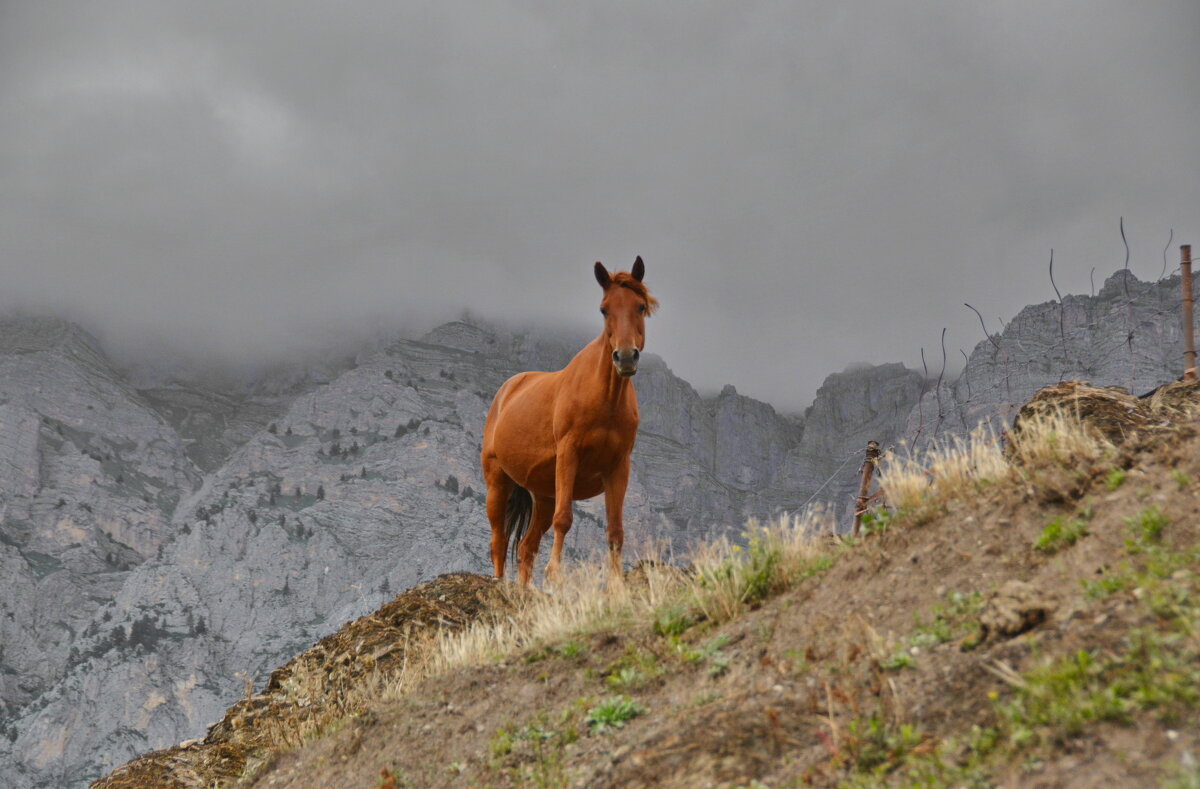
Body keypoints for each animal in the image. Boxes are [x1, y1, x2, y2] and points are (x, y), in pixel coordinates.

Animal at [482, 257, 662, 582]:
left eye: (640, 306)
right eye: (604, 309)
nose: (625, 357)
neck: (604, 401)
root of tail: (506, 391)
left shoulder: (618, 466)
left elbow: (615, 531)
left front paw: (615, 585)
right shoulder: (569, 454)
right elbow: (564, 520)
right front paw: (555, 574)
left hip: (543, 494)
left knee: (526, 548)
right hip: (497, 482)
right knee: (498, 541)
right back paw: (500, 583)